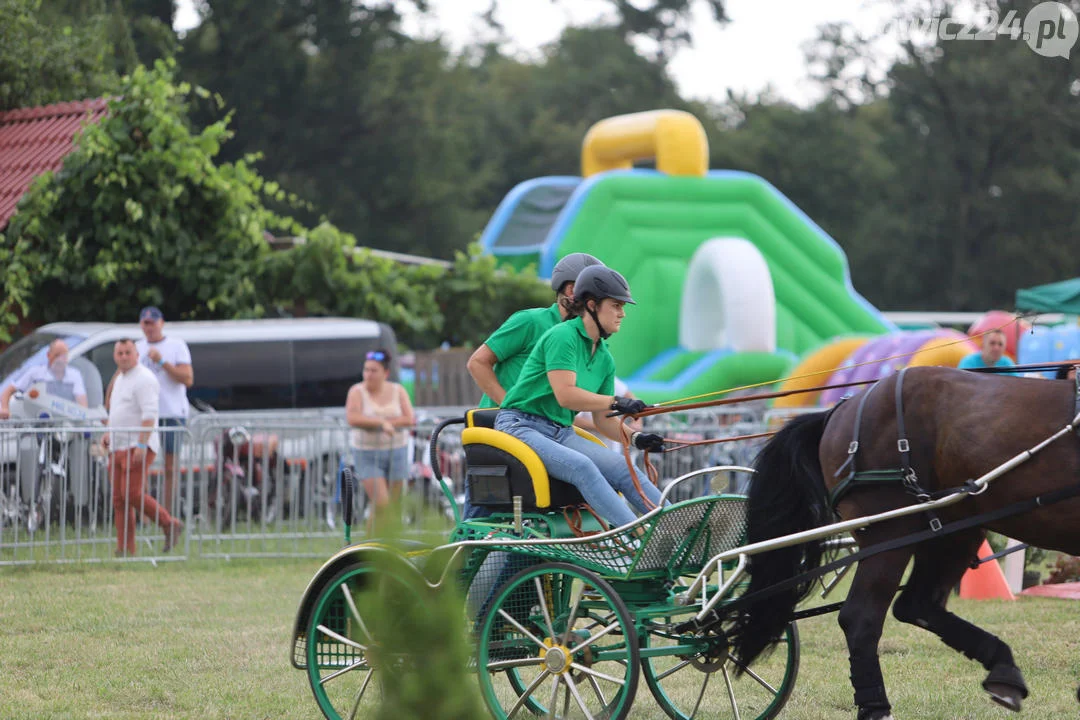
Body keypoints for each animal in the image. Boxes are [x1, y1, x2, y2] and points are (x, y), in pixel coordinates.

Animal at [725, 367, 1080, 720]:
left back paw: (1003, 670)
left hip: (951, 528)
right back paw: (877, 708)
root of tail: (842, 409)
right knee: (862, 617)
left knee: (917, 604)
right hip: (892, 531)